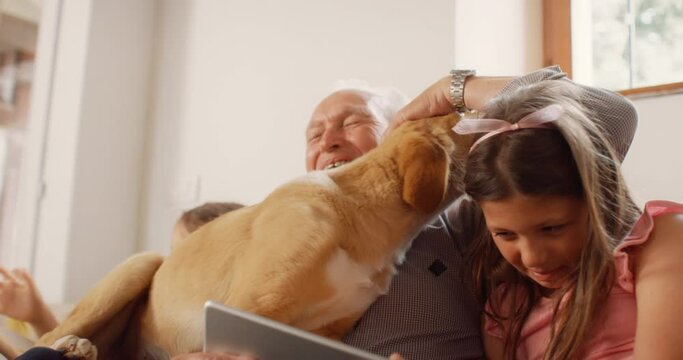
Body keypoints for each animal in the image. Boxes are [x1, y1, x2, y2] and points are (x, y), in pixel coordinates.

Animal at [5, 114, 472, 358]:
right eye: (461, 116)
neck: (362, 214)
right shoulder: (251, 306)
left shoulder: (328, 333)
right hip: (142, 263)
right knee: (44, 339)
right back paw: (71, 344)